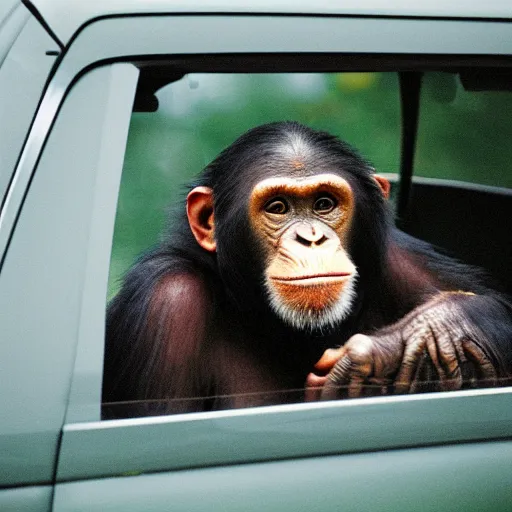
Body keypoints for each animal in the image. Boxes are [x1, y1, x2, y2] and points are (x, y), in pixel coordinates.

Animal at [103, 121, 512, 416]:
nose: (311, 237)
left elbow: (499, 303)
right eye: (278, 207)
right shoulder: (167, 304)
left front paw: (403, 342)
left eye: (324, 203)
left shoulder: (398, 257)